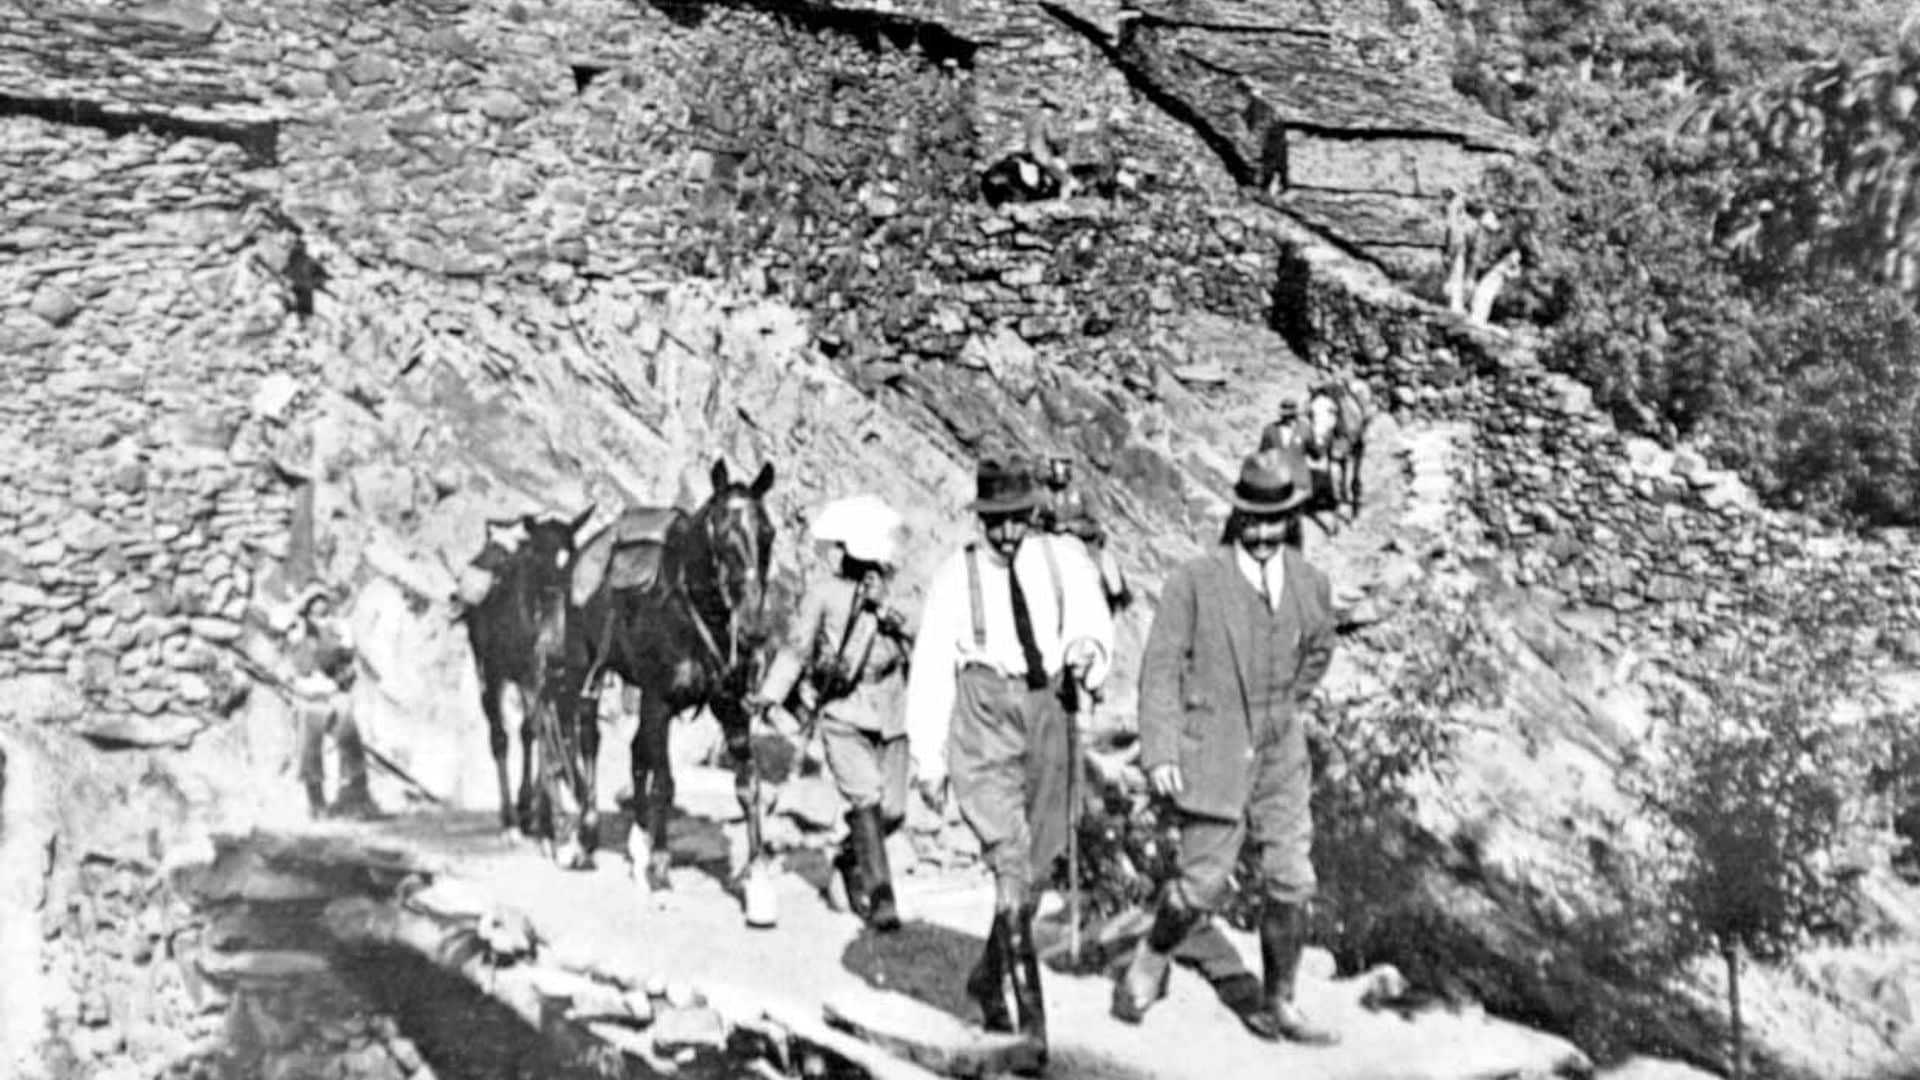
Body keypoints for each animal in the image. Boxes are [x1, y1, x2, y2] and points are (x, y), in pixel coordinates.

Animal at [462, 507, 591, 857]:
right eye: (538, 560)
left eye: (573, 559)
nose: (554, 646)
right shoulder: (526, 677)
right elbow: (533, 735)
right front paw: (545, 824)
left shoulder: (553, 681)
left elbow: (544, 734)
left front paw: (545, 820)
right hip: (491, 673)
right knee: (500, 737)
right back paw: (510, 821)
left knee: (527, 733)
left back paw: (525, 810)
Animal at [564, 457, 775, 887]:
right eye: (724, 535)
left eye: (768, 534)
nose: (753, 630)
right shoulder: (659, 702)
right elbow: (664, 782)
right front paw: (661, 864)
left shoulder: (731, 708)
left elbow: (748, 783)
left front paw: (756, 868)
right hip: (587, 669)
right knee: (590, 737)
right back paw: (587, 838)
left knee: (636, 752)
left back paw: (638, 841)